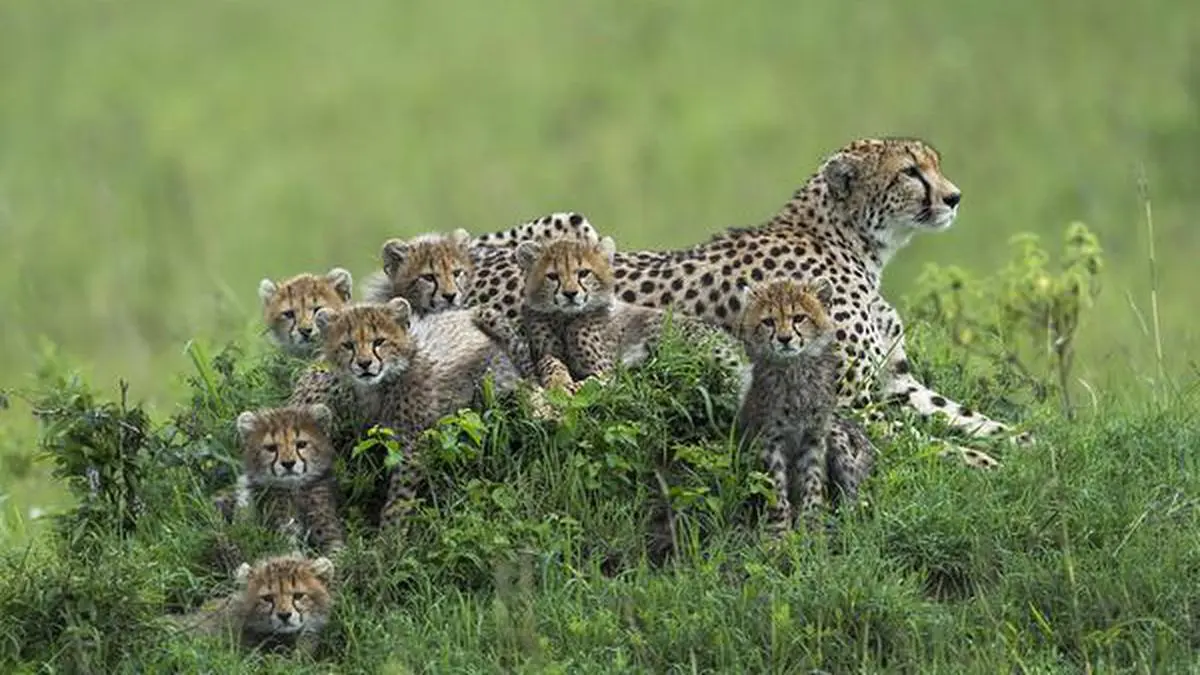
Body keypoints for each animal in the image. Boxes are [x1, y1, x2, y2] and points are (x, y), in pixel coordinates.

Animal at [468, 135, 1022, 444]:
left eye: (934, 164)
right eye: (910, 172)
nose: (954, 197)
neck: (852, 242)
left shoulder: (895, 382)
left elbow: (970, 417)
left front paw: (1026, 446)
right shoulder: (847, 400)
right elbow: (920, 439)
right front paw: (980, 461)